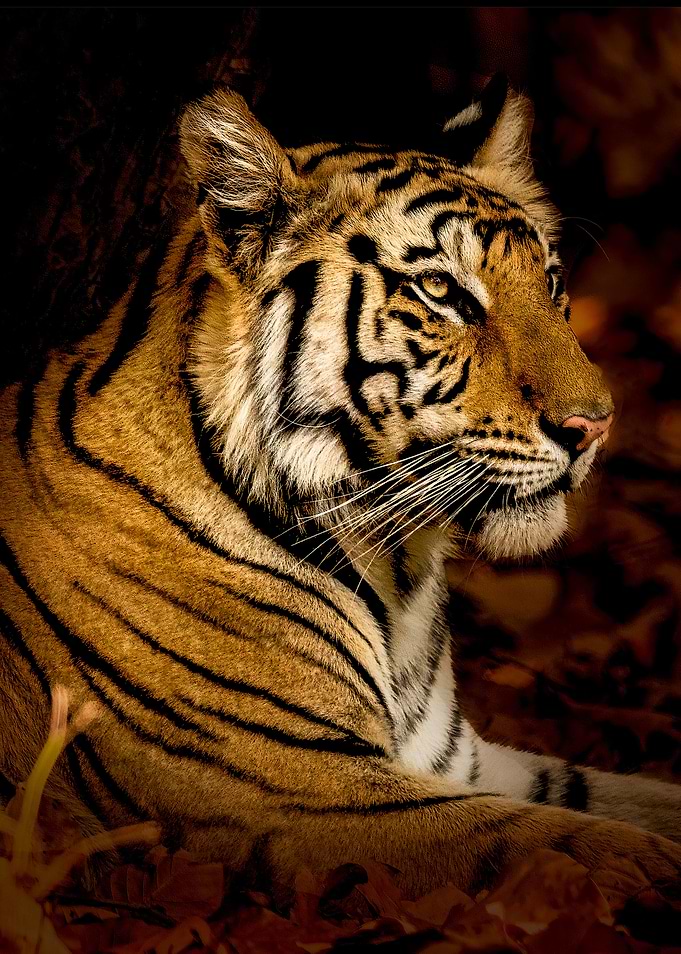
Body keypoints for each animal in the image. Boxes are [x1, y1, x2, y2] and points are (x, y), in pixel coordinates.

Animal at [1, 74, 680, 902]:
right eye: (440, 290)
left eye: (550, 284)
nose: (594, 426)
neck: (400, 576)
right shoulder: (298, 786)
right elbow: (571, 845)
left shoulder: (456, 759)